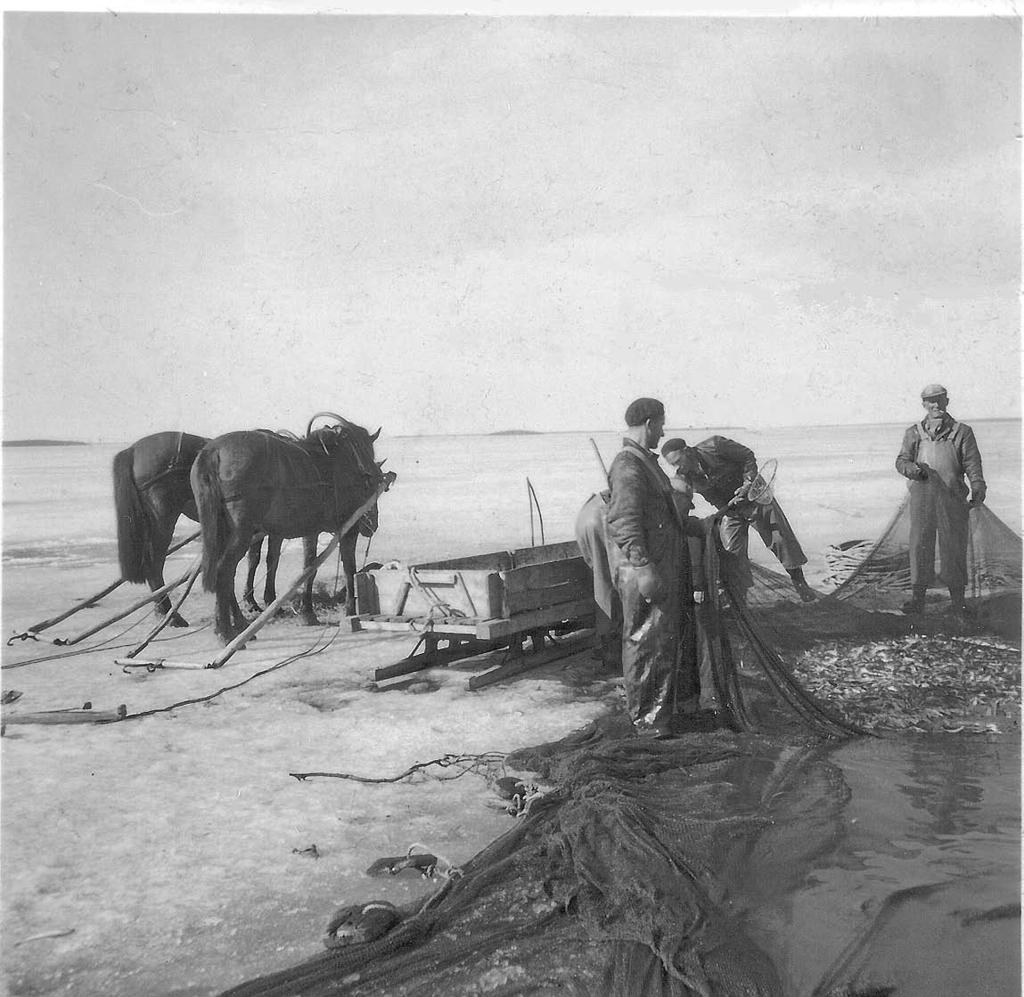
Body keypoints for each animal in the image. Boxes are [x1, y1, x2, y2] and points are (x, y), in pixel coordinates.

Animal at [190, 415, 389, 642]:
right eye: (368, 459)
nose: (372, 523)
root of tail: (212, 450)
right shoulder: (349, 528)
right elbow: (348, 569)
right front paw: (349, 612)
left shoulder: (311, 530)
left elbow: (309, 567)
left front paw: (307, 613)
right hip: (242, 532)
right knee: (224, 570)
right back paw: (226, 631)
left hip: (222, 531)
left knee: (223, 572)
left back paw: (235, 624)